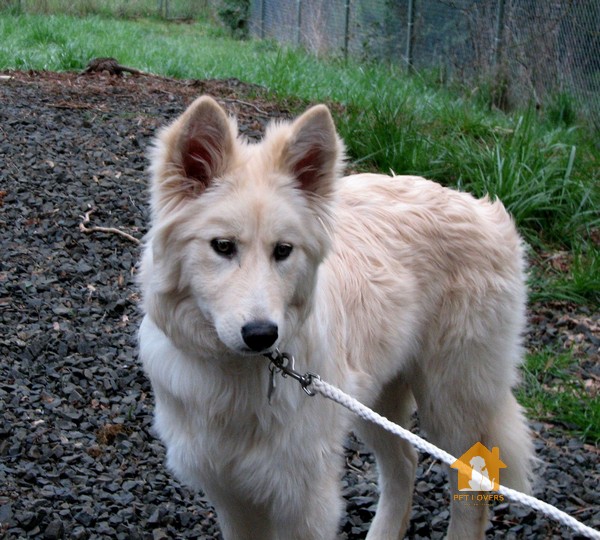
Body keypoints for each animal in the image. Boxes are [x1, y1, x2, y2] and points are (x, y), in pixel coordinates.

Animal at [138, 97, 532, 540]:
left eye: (283, 250)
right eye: (222, 246)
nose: (262, 335)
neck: (236, 379)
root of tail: (483, 208)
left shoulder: (304, 500)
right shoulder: (230, 494)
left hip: (451, 403)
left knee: (470, 492)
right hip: (377, 401)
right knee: (405, 463)